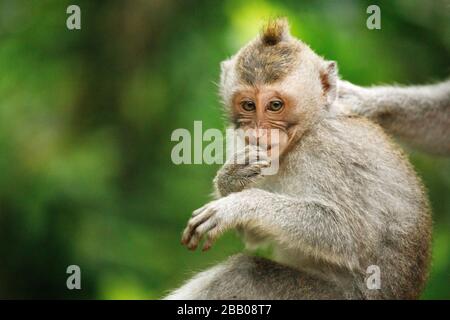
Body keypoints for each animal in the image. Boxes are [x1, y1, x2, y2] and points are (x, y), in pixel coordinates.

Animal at [163, 18, 430, 300]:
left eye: (275, 105)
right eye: (248, 105)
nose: (257, 133)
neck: (303, 136)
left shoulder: (329, 151)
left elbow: (348, 233)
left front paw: (239, 204)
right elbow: (254, 233)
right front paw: (231, 178)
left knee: (244, 273)